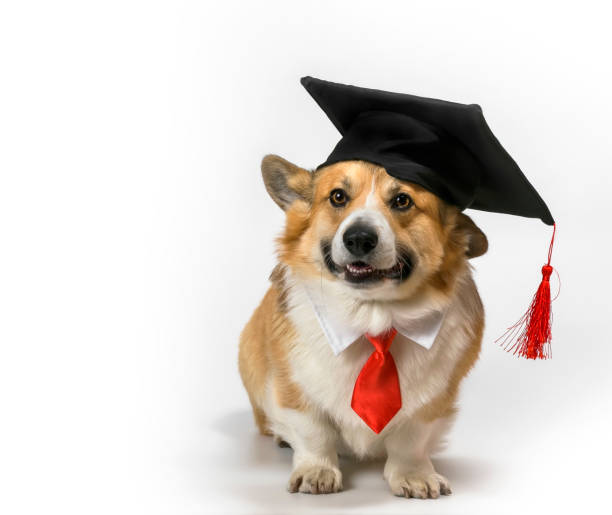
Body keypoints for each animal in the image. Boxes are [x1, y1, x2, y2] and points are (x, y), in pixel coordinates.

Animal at [239, 154, 488, 500]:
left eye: (402, 201)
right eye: (338, 197)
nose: (358, 238)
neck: (373, 318)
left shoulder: (432, 401)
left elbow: (411, 440)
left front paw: (414, 475)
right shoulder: (294, 387)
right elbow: (313, 432)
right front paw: (316, 470)